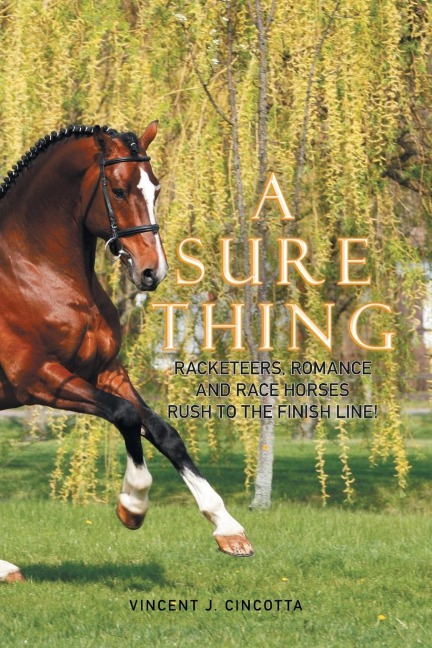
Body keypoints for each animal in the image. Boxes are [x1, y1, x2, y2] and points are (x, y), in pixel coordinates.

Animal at [0, 122, 253, 582]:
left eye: (156, 188)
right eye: (118, 191)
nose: (153, 271)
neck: (35, 272)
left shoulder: (106, 371)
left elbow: (163, 432)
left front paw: (228, 529)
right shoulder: (39, 378)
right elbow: (126, 416)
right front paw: (132, 505)